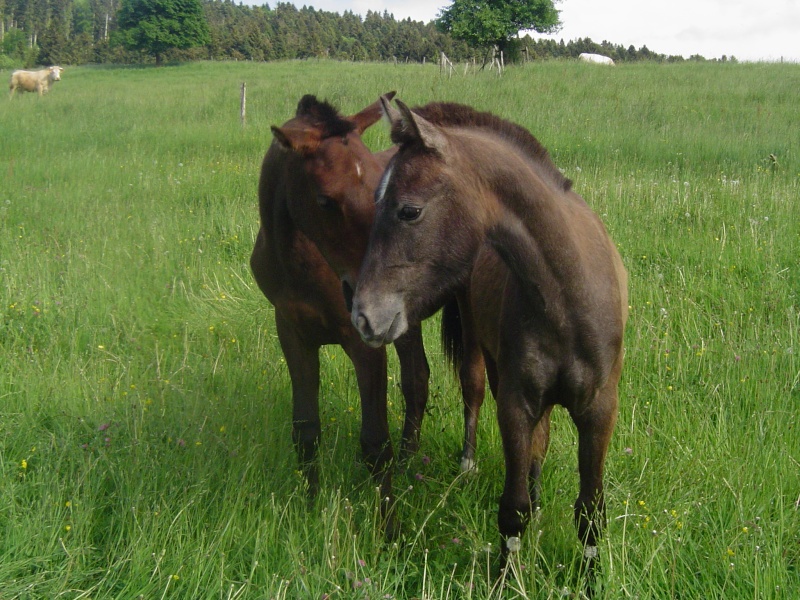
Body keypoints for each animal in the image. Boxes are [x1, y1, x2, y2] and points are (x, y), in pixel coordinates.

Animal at [354, 96, 628, 568]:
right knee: (474, 386)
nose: (364, 315)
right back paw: (468, 465)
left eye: (409, 210)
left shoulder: (599, 409)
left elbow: (591, 510)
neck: (569, 296)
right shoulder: (517, 403)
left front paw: (590, 575)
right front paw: (506, 573)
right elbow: (513, 509)